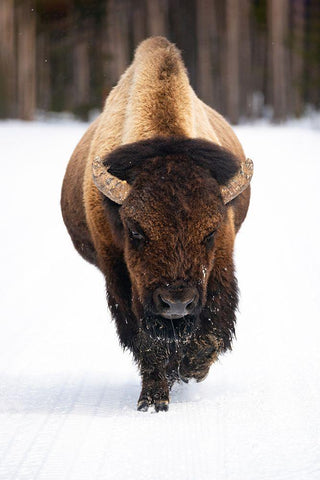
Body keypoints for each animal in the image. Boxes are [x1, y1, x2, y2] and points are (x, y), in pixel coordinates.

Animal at [61, 37, 254, 412]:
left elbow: (212, 328)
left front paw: (191, 369)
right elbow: (145, 340)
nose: (176, 302)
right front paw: (153, 400)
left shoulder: (221, 260)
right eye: (135, 230)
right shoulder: (119, 274)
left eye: (209, 232)